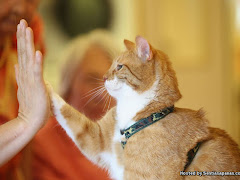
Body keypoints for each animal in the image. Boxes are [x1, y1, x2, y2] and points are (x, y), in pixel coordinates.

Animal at [48, 35, 240, 179]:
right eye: (111, 66)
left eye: (119, 67)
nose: (103, 77)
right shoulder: (97, 139)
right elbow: (70, 115)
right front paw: (45, 84)